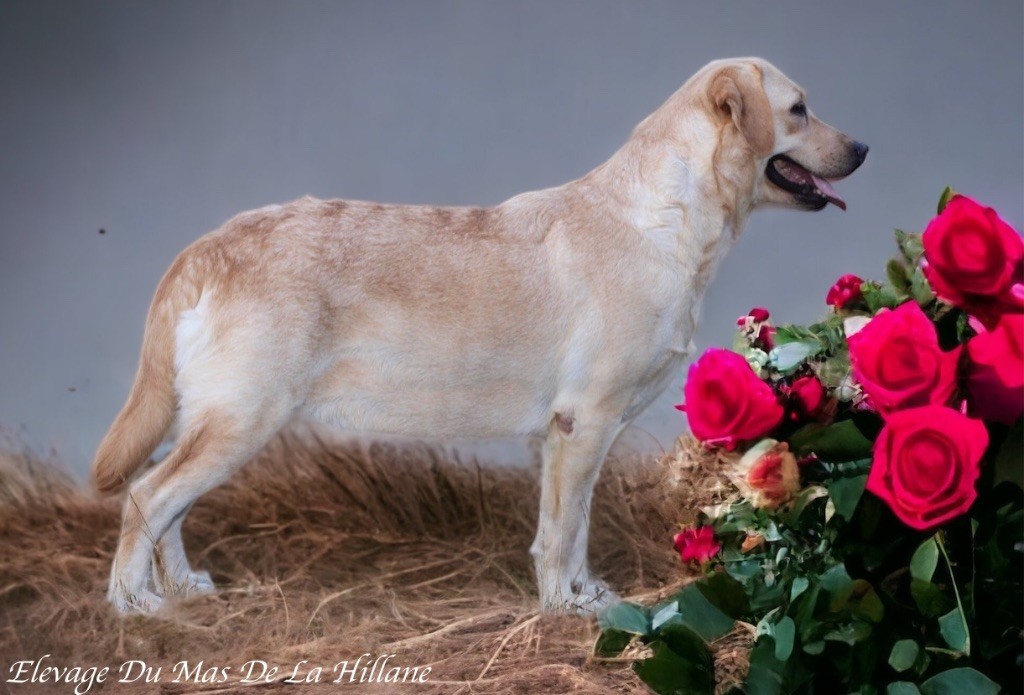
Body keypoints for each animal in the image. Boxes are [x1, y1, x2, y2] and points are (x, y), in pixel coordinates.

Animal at [94, 59, 864, 614]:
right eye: (800, 108)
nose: (863, 145)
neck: (667, 219)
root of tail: (207, 245)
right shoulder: (584, 422)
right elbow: (563, 534)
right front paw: (565, 609)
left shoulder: (568, 434)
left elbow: (568, 528)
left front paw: (580, 595)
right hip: (242, 420)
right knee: (145, 496)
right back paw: (135, 605)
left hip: (219, 423)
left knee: (166, 504)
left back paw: (182, 588)